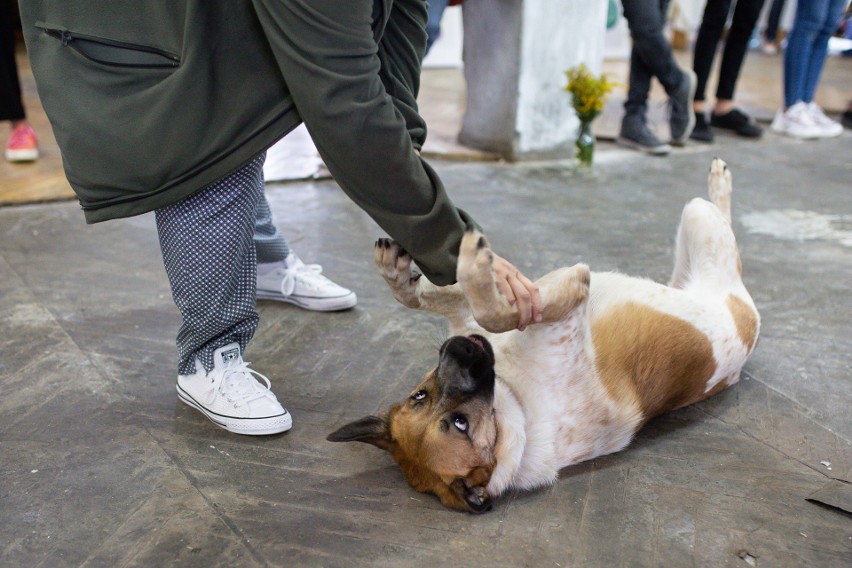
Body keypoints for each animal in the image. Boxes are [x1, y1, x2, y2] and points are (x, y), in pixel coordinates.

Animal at [326, 159, 760, 516]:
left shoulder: (478, 319)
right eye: (459, 424)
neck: (513, 403)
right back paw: (720, 181)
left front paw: (405, 275)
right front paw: (473, 261)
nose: (459, 346)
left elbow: (443, 299)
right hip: (703, 230)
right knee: (721, 226)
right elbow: (497, 308)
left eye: (420, 395)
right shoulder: (563, 299)